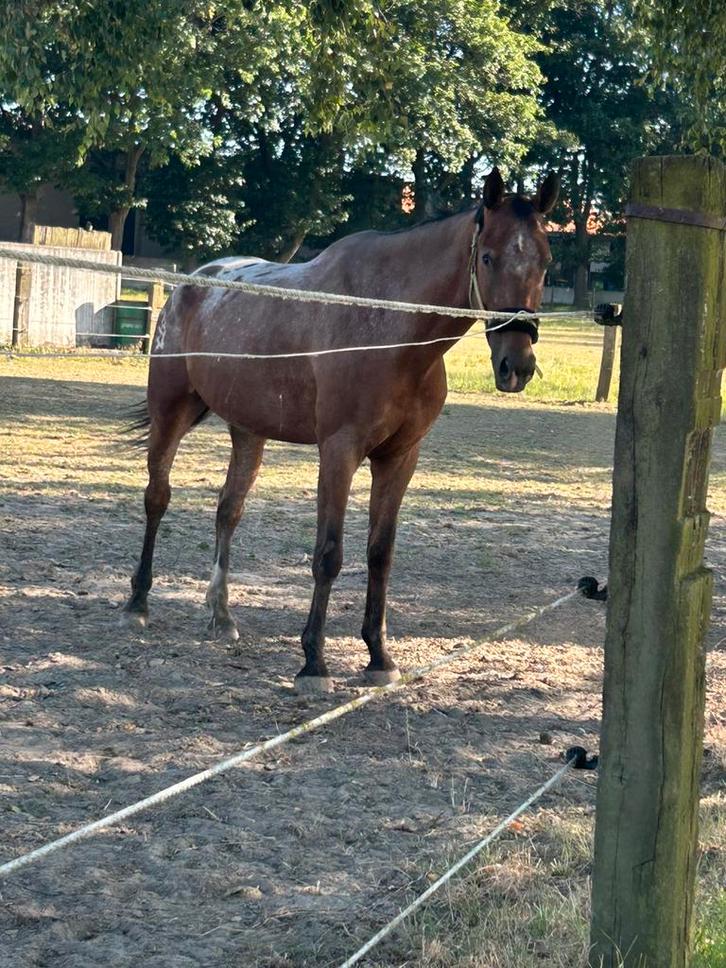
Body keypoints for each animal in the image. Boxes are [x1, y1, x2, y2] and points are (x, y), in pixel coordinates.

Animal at [122, 167, 559, 693]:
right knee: (157, 498)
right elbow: (328, 554)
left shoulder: (400, 458)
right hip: (172, 412)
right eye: (489, 257)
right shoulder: (339, 451)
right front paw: (314, 662)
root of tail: (188, 287)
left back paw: (221, 616)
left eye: (545, 262)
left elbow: (380, 554)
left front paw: (379, 657)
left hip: (248, 431)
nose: (517, 365)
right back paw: (137, 603)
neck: (389, 324)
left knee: (228, 512)